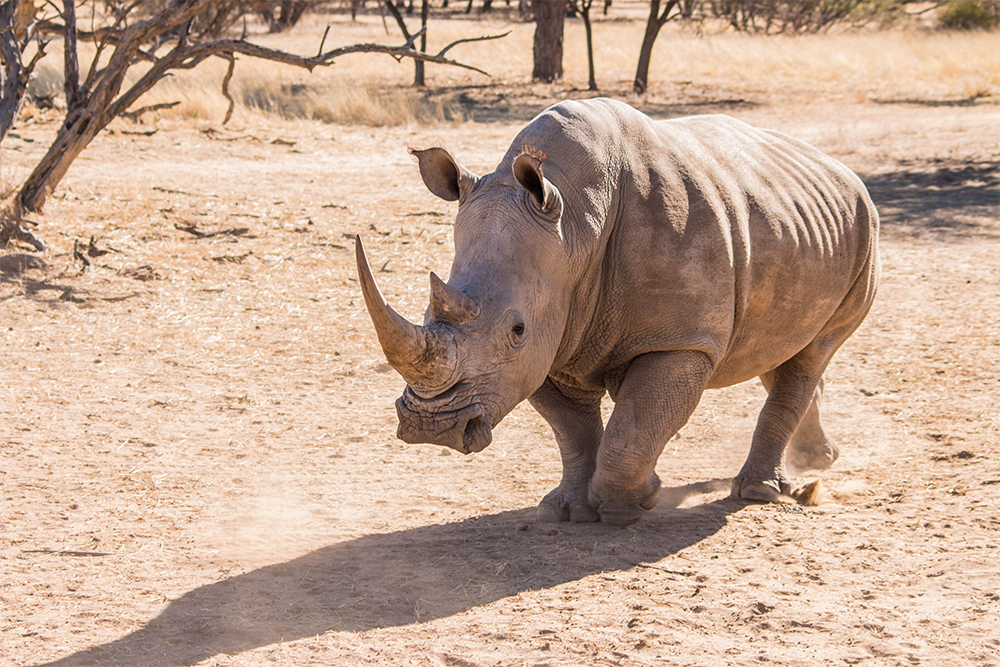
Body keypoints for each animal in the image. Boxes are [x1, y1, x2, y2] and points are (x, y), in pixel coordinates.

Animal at [356, 99, 880, 528]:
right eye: (427, 309)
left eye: (517, 330)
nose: (433, 429)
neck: (574, 225)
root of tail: (843, 170)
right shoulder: (551, 341)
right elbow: (572, 431)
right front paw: (567, 510)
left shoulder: (677, 341)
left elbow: (635, 427)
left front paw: (633, 503)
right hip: (801, 225)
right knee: (779, 349)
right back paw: (818, 459)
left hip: (865, 231)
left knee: (814, 352)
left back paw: (758, 493)